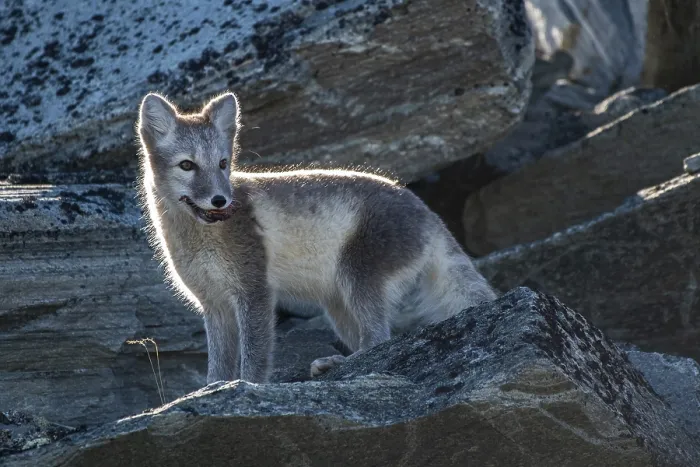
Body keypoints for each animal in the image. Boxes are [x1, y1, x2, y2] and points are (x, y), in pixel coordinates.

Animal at [136, 91, 497, 384]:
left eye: (223, 164)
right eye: (187, 165)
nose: (220, 200)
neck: (197, 238)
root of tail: (429, 213)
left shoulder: (254, 293)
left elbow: (253, 359)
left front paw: (246, 387)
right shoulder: (214, 305)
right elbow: (217, 367)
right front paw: (212, 390)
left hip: (357, 278)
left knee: (379, 339)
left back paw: (341, 362)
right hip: (337, 305)